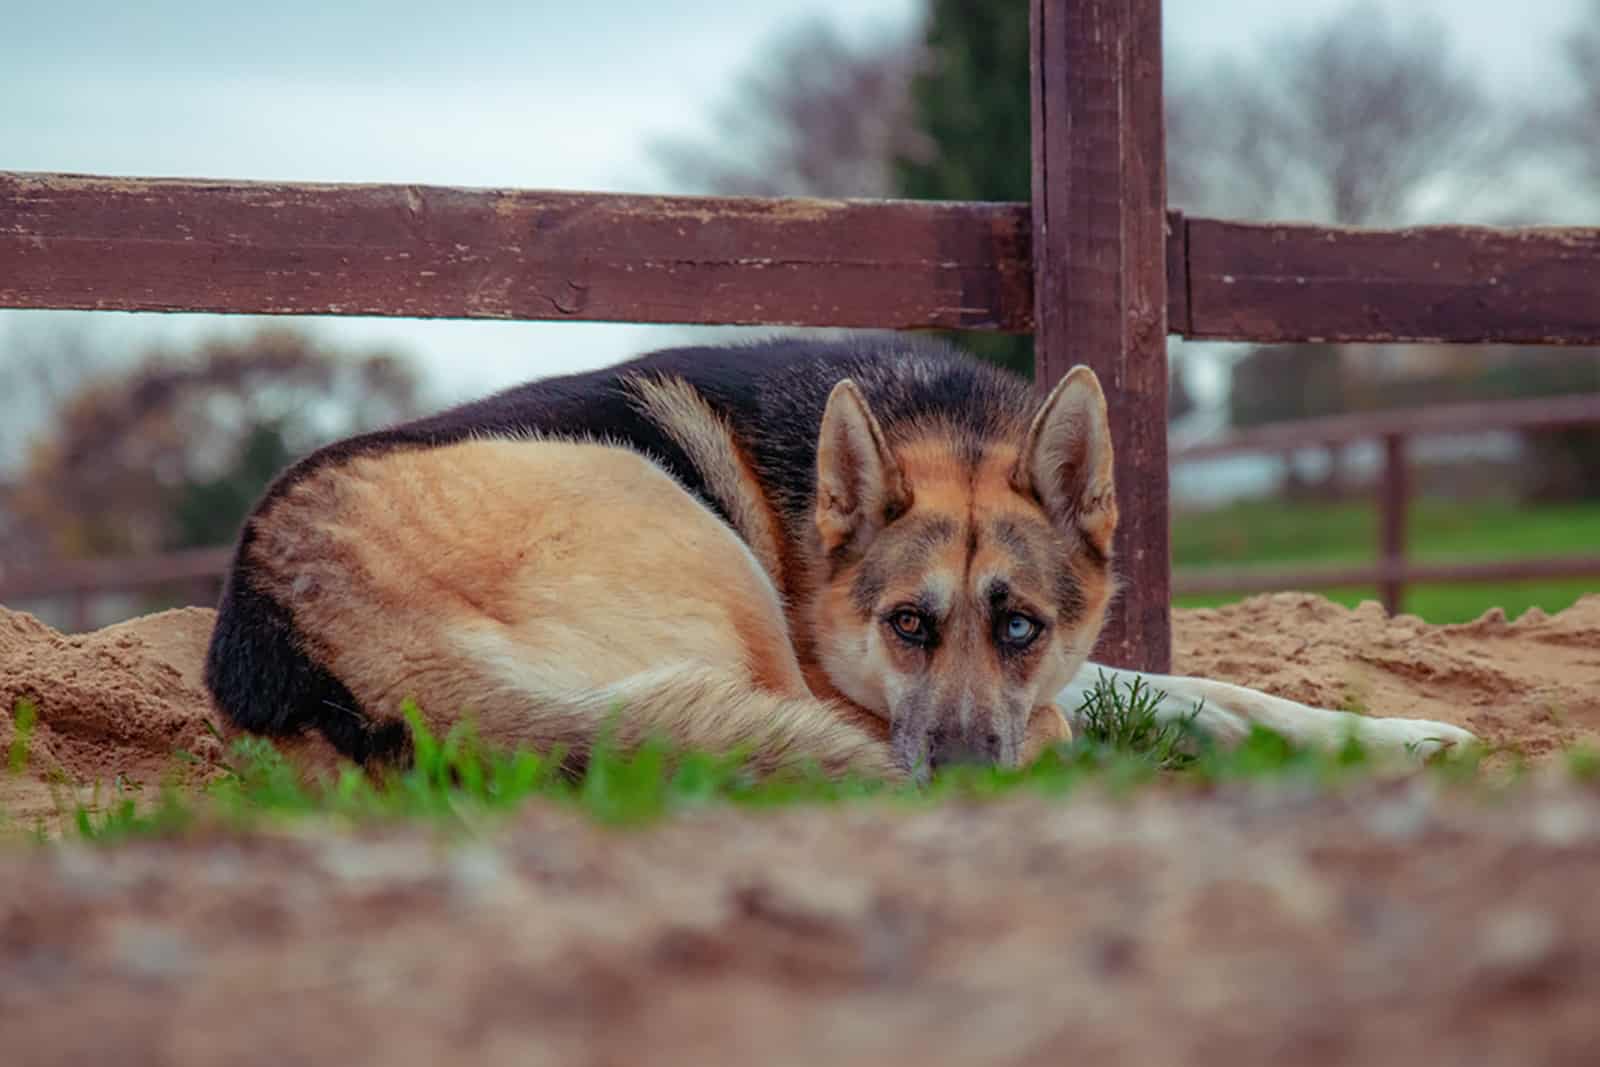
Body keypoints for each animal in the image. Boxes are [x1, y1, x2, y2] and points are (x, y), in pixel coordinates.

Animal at [206, 335, 1478, 783]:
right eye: (904, 623)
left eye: (1019, 623)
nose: (961, 771)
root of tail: (300, 615)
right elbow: (1126, 700)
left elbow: (1202, 686)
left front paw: (1397, 732)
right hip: (696, 540)